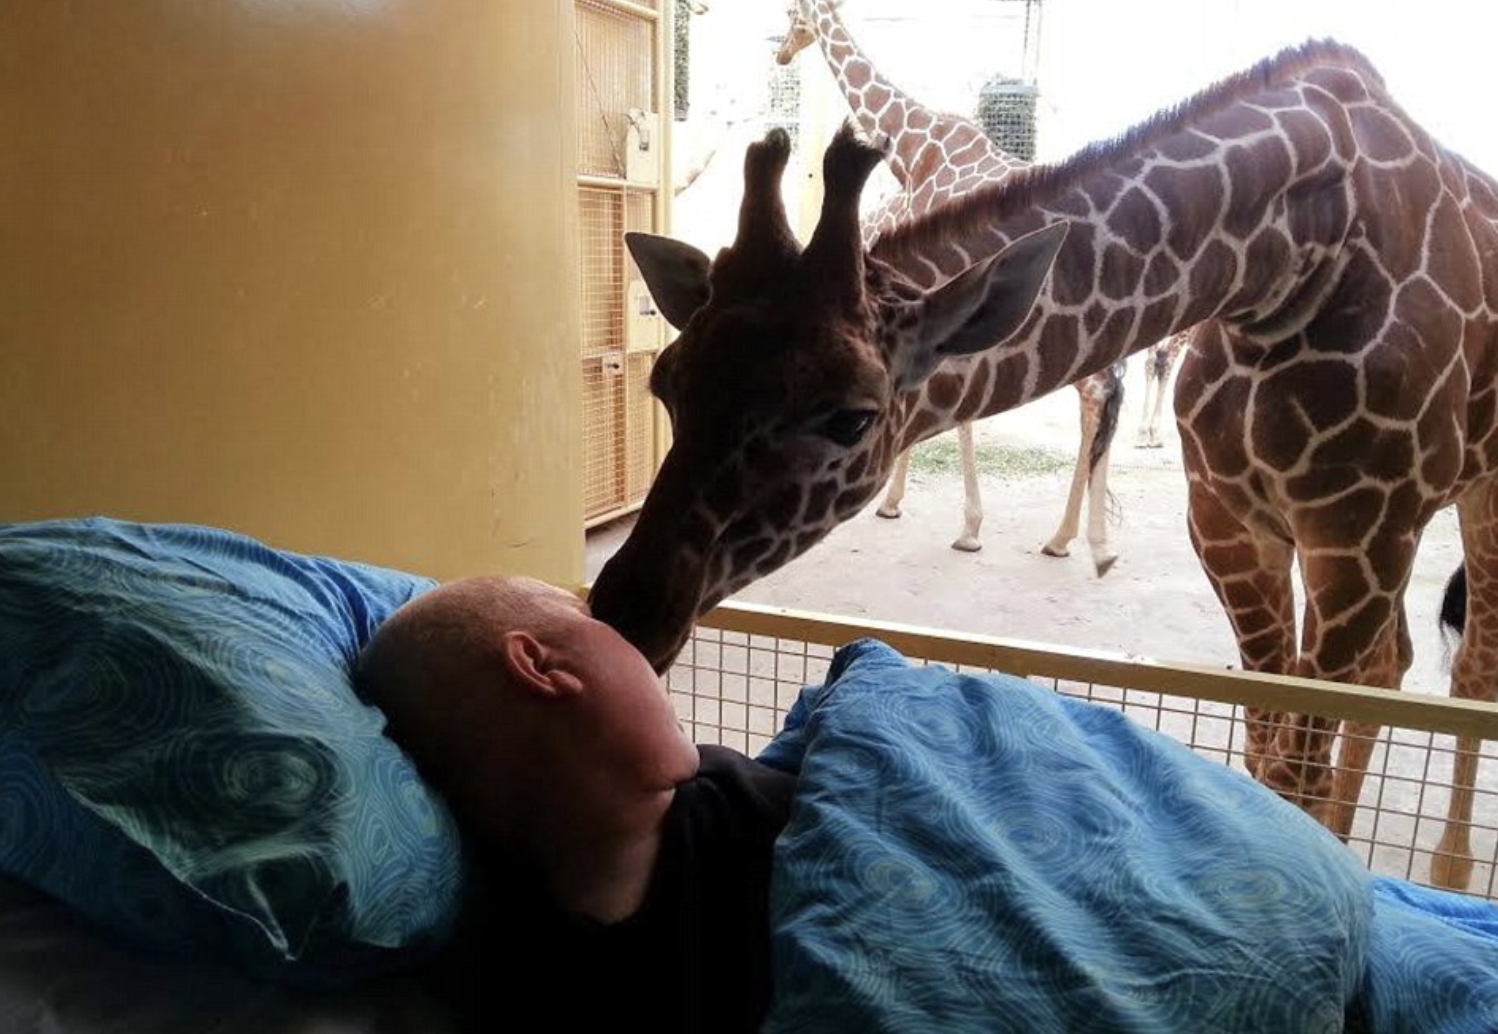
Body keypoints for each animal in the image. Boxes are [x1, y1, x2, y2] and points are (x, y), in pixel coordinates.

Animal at [776, 0, 1126, 568]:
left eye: (791, 16)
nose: (782, 53)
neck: (915, 148)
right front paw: (903, 503)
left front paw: (966, 526)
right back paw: (1081, 538)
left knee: (1097, 394)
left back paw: (1072, 537)